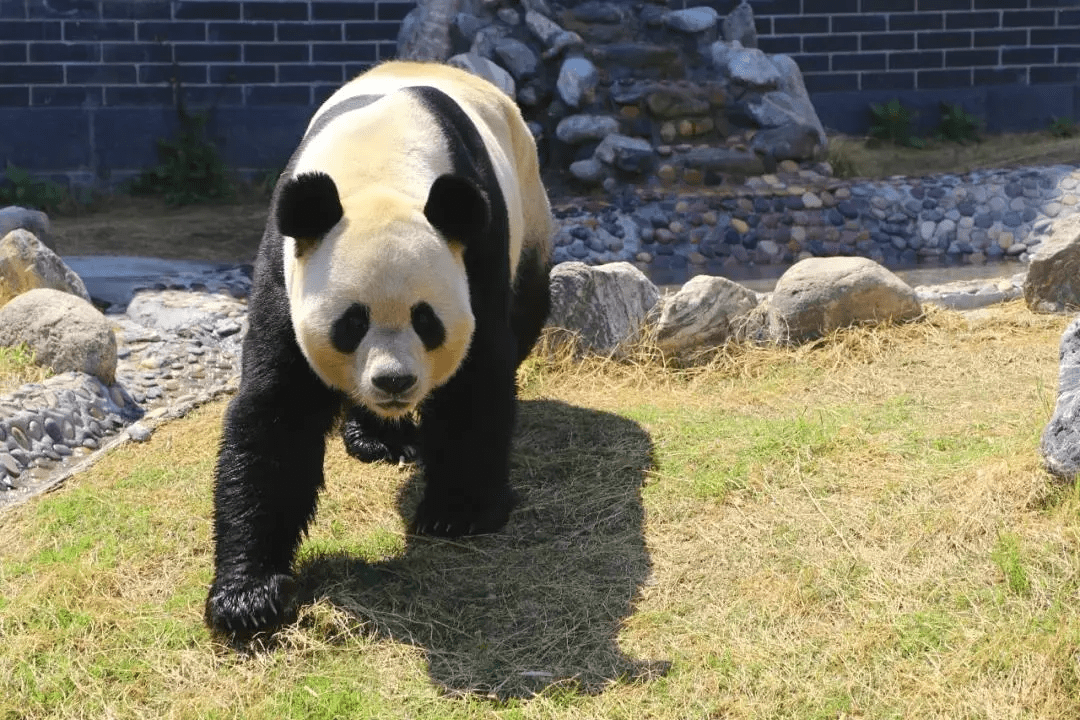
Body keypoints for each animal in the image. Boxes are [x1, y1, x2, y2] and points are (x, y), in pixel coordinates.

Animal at [205, 62, 552, 634]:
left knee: (527, 310)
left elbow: (475, 381)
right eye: (352, 324)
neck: (378, 166)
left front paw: (458, 511)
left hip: (529, 210)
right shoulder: (286, 265)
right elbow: (277, 412)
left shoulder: (475, 252)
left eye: (426, 320)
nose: (394, 382)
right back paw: (377, 438)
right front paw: (247, 596)